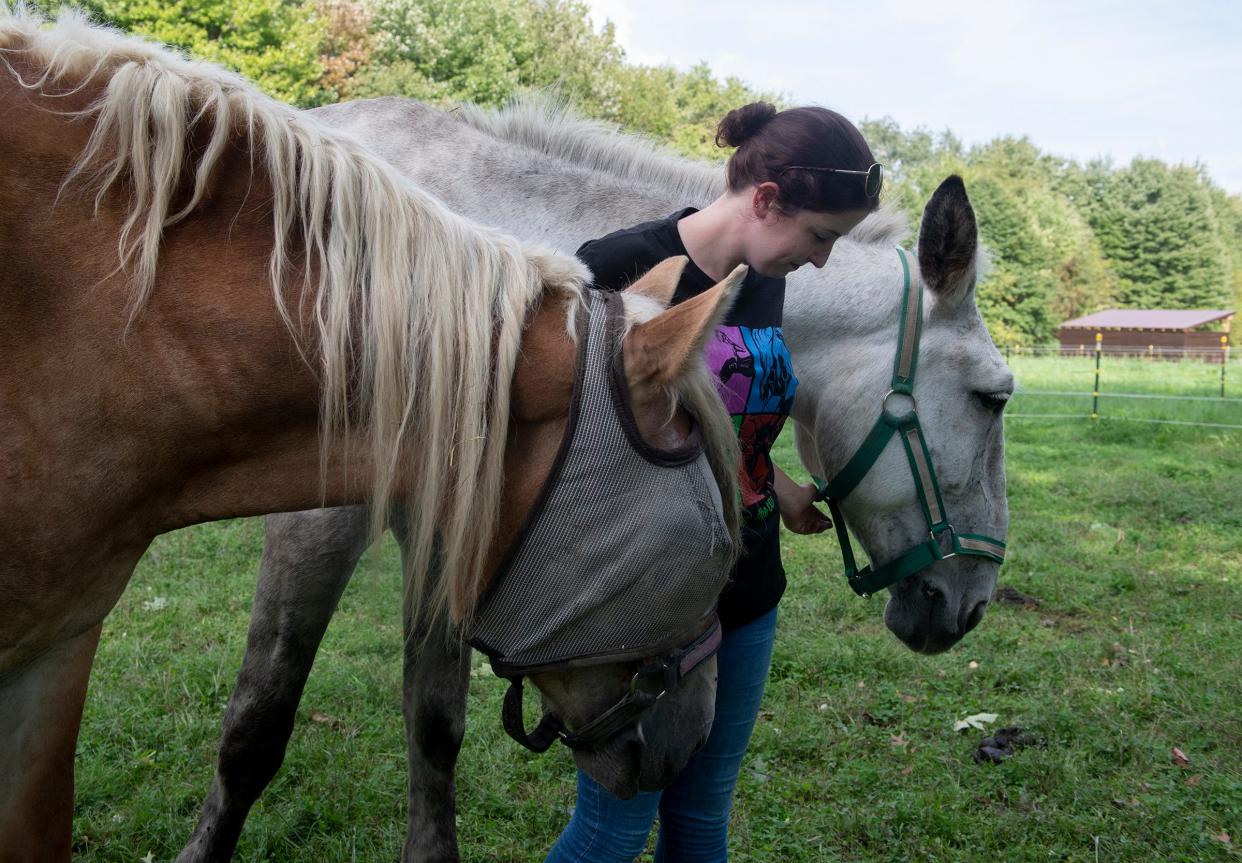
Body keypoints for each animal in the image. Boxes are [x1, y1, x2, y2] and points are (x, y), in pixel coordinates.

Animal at [0, 10, 740, 859]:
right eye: (717, 551)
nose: (694, 739)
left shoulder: (55, 647)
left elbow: (433, 720)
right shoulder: (318, 524)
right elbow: (258, 721)